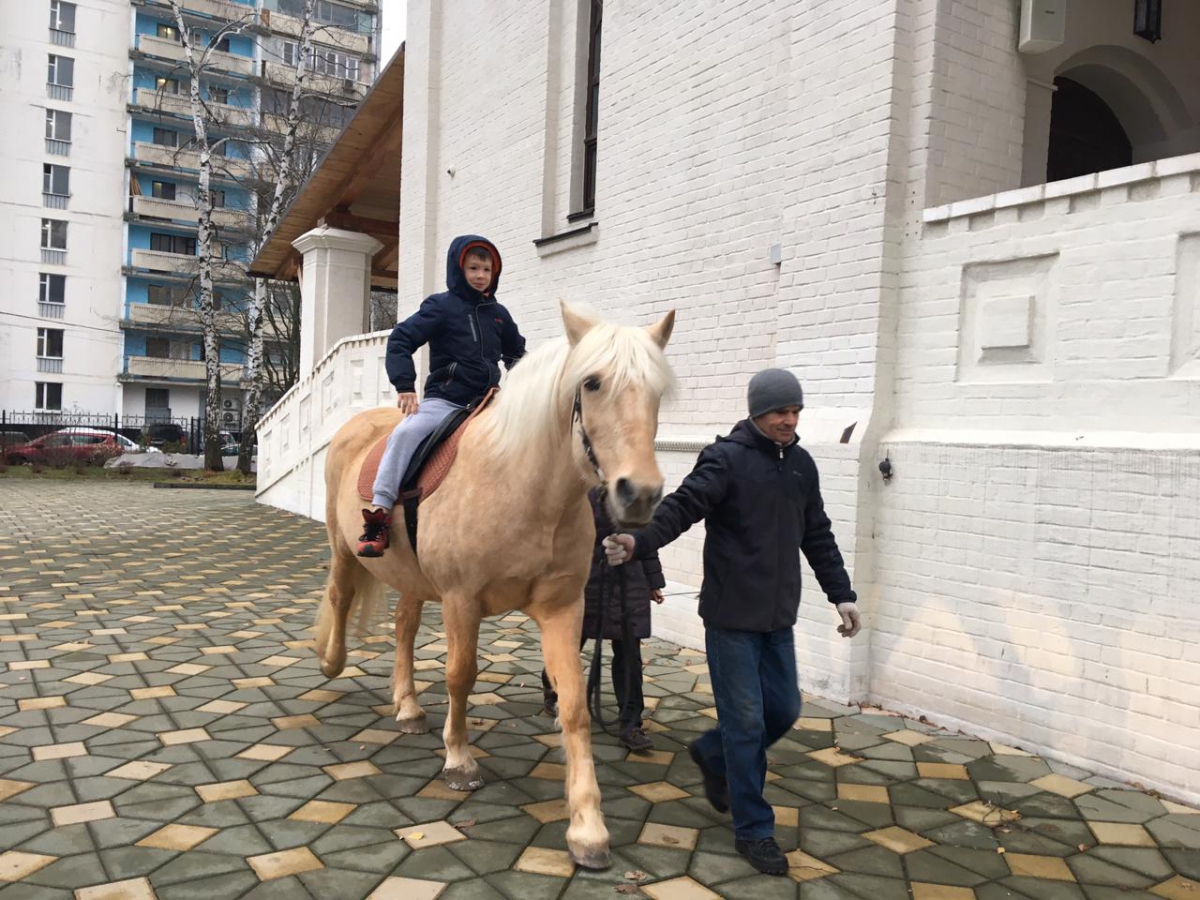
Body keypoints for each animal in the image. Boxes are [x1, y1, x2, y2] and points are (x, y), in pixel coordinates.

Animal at [315, 302, 675, 869]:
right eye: (592, 383)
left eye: (657, 390)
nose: (638, 495)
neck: (521, 484)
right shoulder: (461, 600)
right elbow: (460, 676)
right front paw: (459, 762)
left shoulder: (563, 609)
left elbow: (574, 705)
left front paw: (588, 828)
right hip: (344, 549)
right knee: (341, 596)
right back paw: (332, 662)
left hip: (412, 578)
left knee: (403, 626)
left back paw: (408, 707)